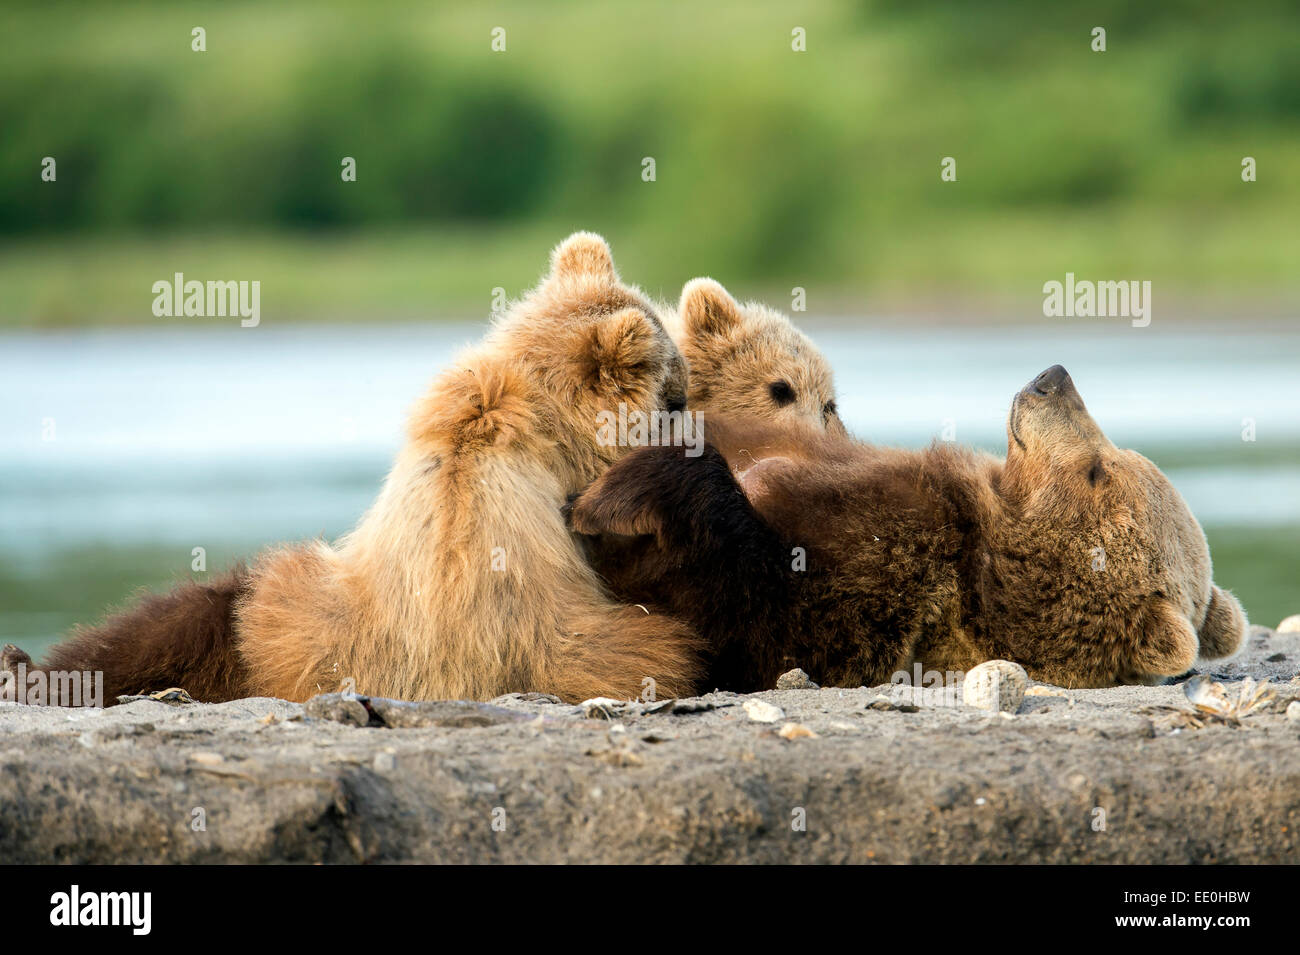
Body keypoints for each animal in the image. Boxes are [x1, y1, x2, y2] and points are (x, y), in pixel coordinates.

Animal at [566, 364, 1248, 691]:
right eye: (1112, 459)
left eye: (1099, 471)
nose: (1053, 377)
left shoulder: (885, 577)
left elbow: (751, 605)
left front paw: (612, 496)